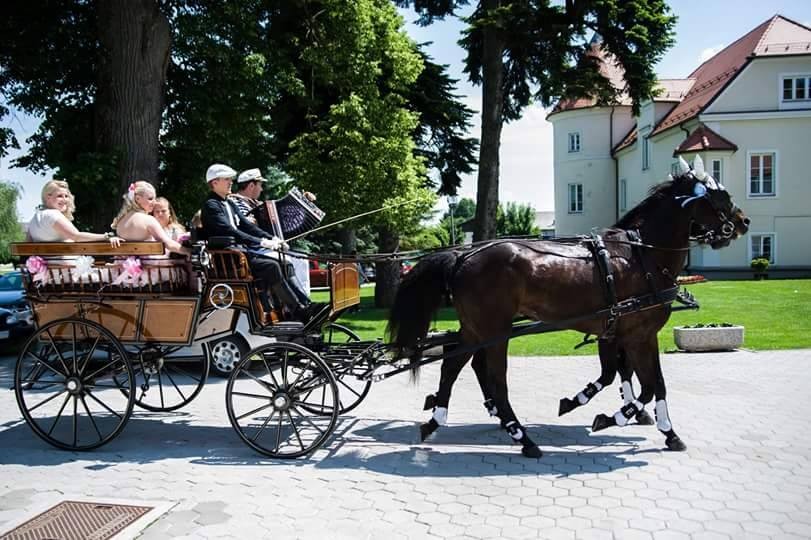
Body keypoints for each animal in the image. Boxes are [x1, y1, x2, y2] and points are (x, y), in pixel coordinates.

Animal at [386, 163, 748, 456]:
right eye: (721, 196)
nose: (743, 221)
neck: (640, 255)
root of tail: (462, 256)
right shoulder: (637, 334)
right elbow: (644, 385)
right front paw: (613, 416)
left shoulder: (624, 333)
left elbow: (648, 382)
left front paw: (667, 432)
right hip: (495, 330)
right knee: (494, 380)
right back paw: (522, 437)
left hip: (476, 329)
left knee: (453, 365)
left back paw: (436, 420)